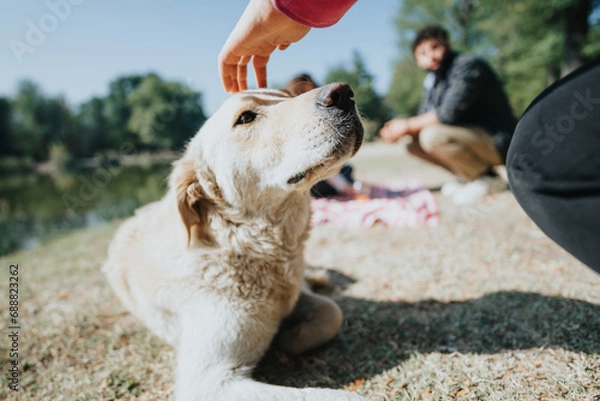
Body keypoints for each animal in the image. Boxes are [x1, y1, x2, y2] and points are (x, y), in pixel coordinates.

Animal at [101, 83, 368, 398]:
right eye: (246, 117)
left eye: (286, 96)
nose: (342, 93)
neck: (241, 242)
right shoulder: (207, 381)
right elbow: (320, 394)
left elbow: (332, 312)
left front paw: (291, 335)